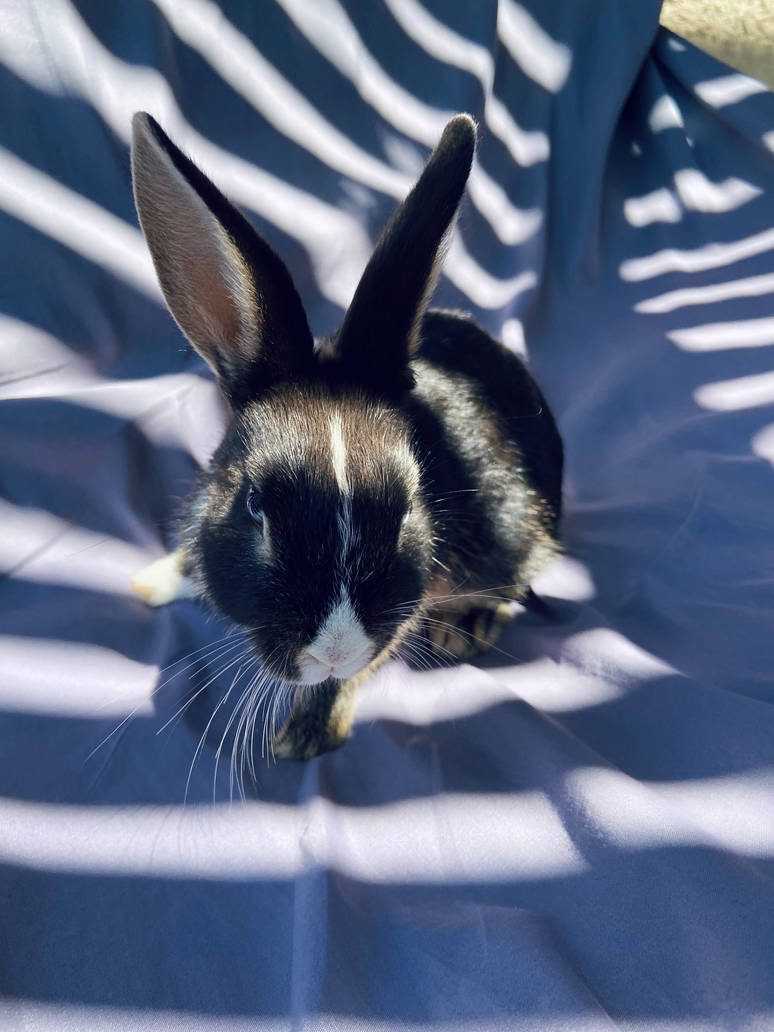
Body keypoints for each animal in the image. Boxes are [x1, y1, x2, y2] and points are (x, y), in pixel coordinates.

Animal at [130, 111, 563, 761]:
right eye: (254, 506)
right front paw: (151, 582)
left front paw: (303, 737)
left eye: (408, 510)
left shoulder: (405, 602)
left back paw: (465, 628)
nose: (334, 651)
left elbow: (361, 669)